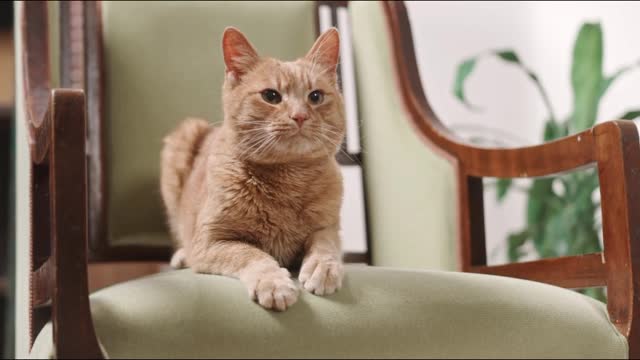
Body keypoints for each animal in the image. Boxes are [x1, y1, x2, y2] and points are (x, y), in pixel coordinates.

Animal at [162, 27, 348, 312]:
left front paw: (323, 267)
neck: (289, 178)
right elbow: (251, 253)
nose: (300, 116)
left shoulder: (328, 229)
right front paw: (273, 282)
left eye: (315, 96)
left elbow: (325, 245)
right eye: (271, 96)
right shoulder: (211, 242)